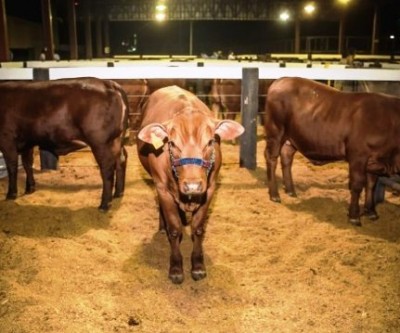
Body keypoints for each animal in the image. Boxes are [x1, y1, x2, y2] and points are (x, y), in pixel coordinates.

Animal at [0, 76, 129, 209]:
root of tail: (108, 83)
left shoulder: (6, 138)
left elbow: (12, 167)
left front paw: (11, 194)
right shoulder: (28, 141)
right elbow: (27, 164)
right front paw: (30, 188)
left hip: (100, 142)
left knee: (107, 167)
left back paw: (105, 204)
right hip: (116, 140)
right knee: (121, 160)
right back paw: (118, 193)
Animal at [138, 84, 244, 282]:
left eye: (210, 141)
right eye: (172, 143)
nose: (192, 186)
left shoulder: (209, 189)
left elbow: (198, 229)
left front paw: (198, 265)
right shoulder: (163, 188)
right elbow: (174, 229)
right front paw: (176, 267)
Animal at [262, 76, 400, 224]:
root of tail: (281, 80)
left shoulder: (375, 161)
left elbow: (371, 184)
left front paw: (371, 211)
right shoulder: (358, 156)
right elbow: (357, 184)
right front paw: (354, 216)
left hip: (291, 139)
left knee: (286, 157)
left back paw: (290, 190)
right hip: (275, 131)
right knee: (271, 158)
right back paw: (274, 195)